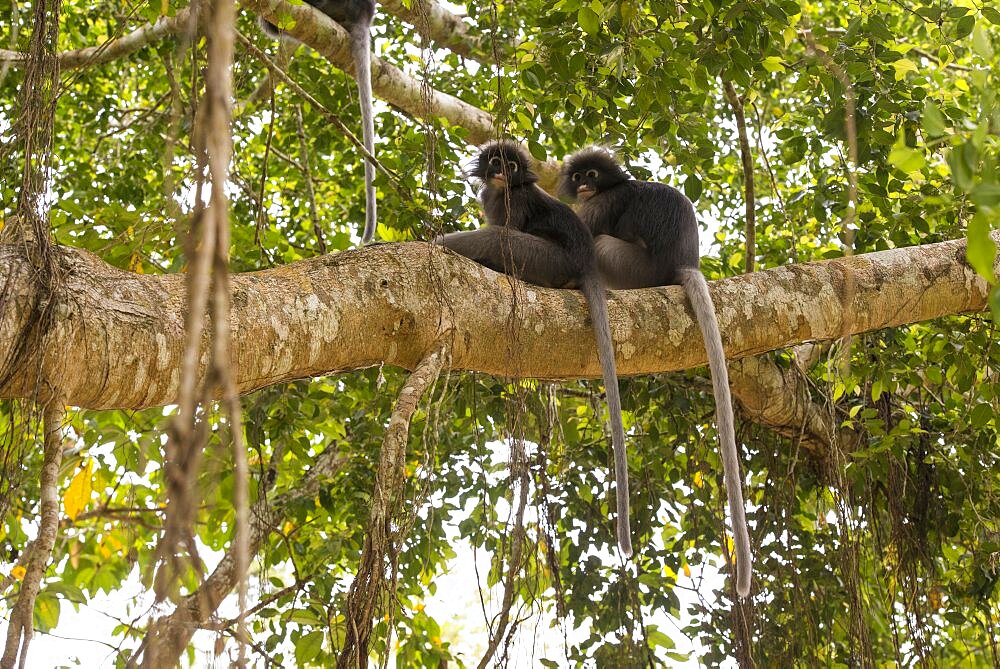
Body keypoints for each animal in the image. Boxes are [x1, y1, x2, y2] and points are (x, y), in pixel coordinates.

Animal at [436, 141, 632, 560]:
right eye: (496, 161)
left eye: (511, 166)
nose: (500, 170)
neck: (501, 190)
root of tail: (585, 262)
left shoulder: (518, 200)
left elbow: (504, 230)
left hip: (549, 259)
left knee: (500, 239)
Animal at [560, 146, 752, 596]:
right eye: (578, 175)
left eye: (592, 175)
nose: (583, 185)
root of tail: (681, 264)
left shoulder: (604, 203)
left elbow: (582, 228)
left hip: (629, 267)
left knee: (598, 243)